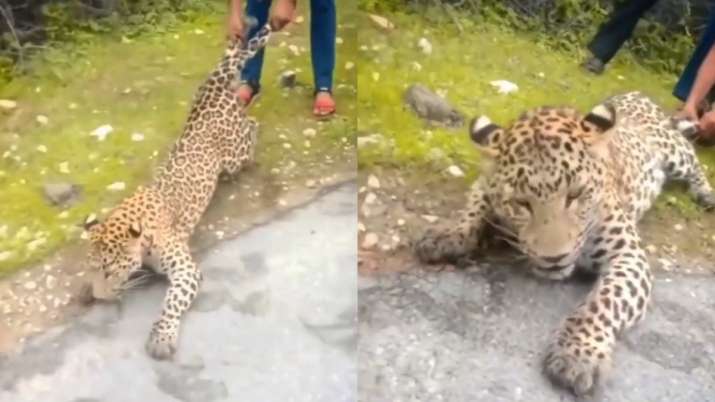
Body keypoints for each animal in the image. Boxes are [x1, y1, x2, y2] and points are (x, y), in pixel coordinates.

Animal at [78, 24, 272, 360]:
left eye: (109, 271)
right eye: (94, 270)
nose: (101, 298)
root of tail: (212, 86)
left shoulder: (185, 270)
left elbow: (171, 303)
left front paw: (161, 336)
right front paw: (84, 291)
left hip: (234, 153)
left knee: (252, 126)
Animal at [414, 91, 715, 395]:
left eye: (575, 195)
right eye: (521, 203)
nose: (554, 258)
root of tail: (633, 94)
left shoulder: (628, 256)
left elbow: (603, 302)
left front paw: (577, 354)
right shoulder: (485, 185)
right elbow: (474, 207)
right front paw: (448, 235)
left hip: (672, 149)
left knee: (693, 160)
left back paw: (706, 194)